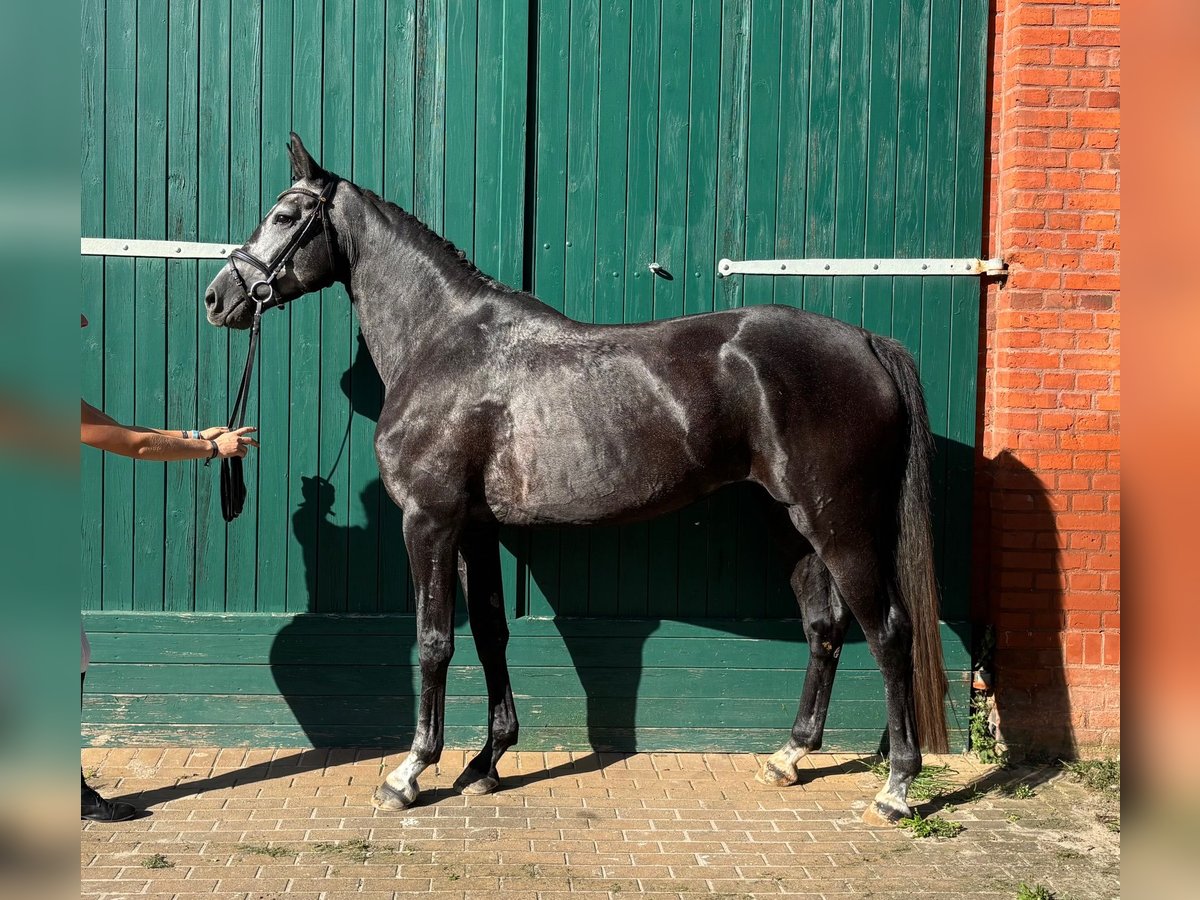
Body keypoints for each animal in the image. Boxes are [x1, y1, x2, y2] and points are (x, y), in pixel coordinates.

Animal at [204, 133, 948, 827]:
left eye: (285, 215)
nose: (218, 298)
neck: (444, 344)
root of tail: (866, 343)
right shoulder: (476, 529)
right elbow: (491, 632)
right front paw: (486, 762)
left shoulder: (430, 521)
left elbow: (435, 642)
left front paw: (411, 772)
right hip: (789, 521)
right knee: (824, 627)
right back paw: (791, 756)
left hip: (840, 524)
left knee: (888, 632)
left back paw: (895, 789)